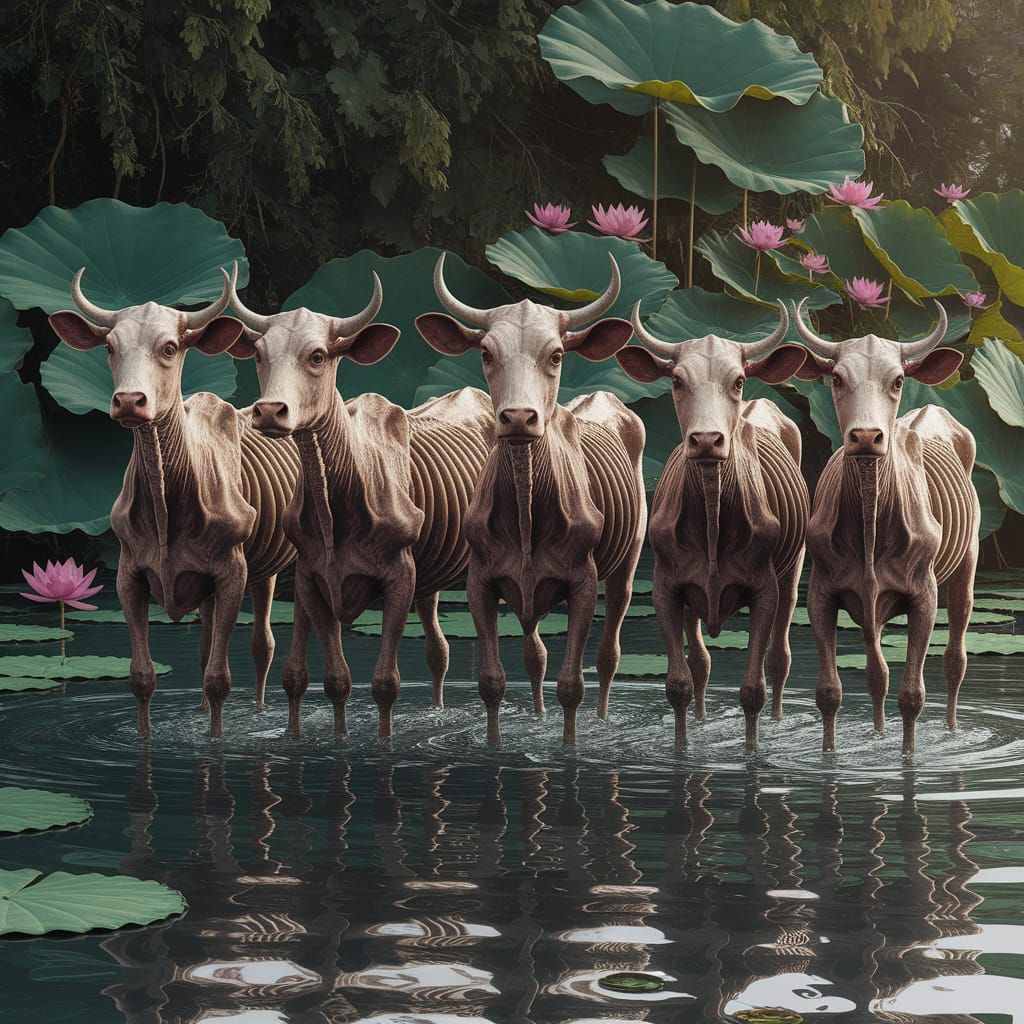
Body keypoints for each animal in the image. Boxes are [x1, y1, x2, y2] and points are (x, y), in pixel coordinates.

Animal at [49, 265, 299, 738]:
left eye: (169, 347)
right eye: (109, 346)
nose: (130, 400)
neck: (168, 504)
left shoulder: (232, 572)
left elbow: (220, 679)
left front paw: (216, 739)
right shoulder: (128, 574)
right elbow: (142, 677)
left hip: (270, 568)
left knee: (262, 644)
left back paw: (259, 712)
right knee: (204, 647)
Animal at [226, 275, 493, 741]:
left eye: (317, 355)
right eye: (259, 354)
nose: (270, 411)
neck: (338, 504)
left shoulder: (399, 577)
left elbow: (385, 683)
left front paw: (383, 741)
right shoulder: (311, 578)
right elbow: (325, 679)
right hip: (430, 577)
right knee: (438, 649)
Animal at [415, 253, 647, 746]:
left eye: (556, 355)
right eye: (486, 353)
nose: (519, 417)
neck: (526, 508)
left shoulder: (583, 582)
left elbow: (572, 684)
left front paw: (569, 746)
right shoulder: (480, 580)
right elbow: (492, 680)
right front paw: (494, 745)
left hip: (630, 558)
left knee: (608, 655)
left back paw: (601, 718)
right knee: (534, 653)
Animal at [615, 301, 809, 750]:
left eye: (738, 381)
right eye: (676, 380)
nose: (706, 439)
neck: (713, 514)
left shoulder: (765, 589)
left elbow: (753, 687)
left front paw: (752, 750)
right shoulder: (667, 587)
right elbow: (679, 683)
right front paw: (682, 749)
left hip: (793, 571)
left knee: (780, 658)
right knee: (700, 662)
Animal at [792, 299, 980, 753]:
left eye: (897, 380)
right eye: (836, 378)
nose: (865, 436)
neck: (871, 520)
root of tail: (933, 407)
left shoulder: (924, 595)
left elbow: (912, 695)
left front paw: (908, 755)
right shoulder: (822, 592)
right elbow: (832, 691)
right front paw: (829, 755)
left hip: (968, 560)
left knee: (955, 658)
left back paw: (951, 730)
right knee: (877, 673)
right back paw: (877, 732)